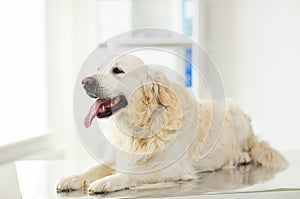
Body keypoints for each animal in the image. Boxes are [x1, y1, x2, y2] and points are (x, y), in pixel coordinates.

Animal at [56, 54, 288, 194]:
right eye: (98, 68)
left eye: (117, 70)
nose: (84, 81)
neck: (141, 125)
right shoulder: (116, 157)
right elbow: (92, 168)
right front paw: (73, 178)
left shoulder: (173, 168)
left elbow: (131, 174)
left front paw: (106, 182)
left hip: (236, 114)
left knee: (249, 149)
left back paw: (241, 157)